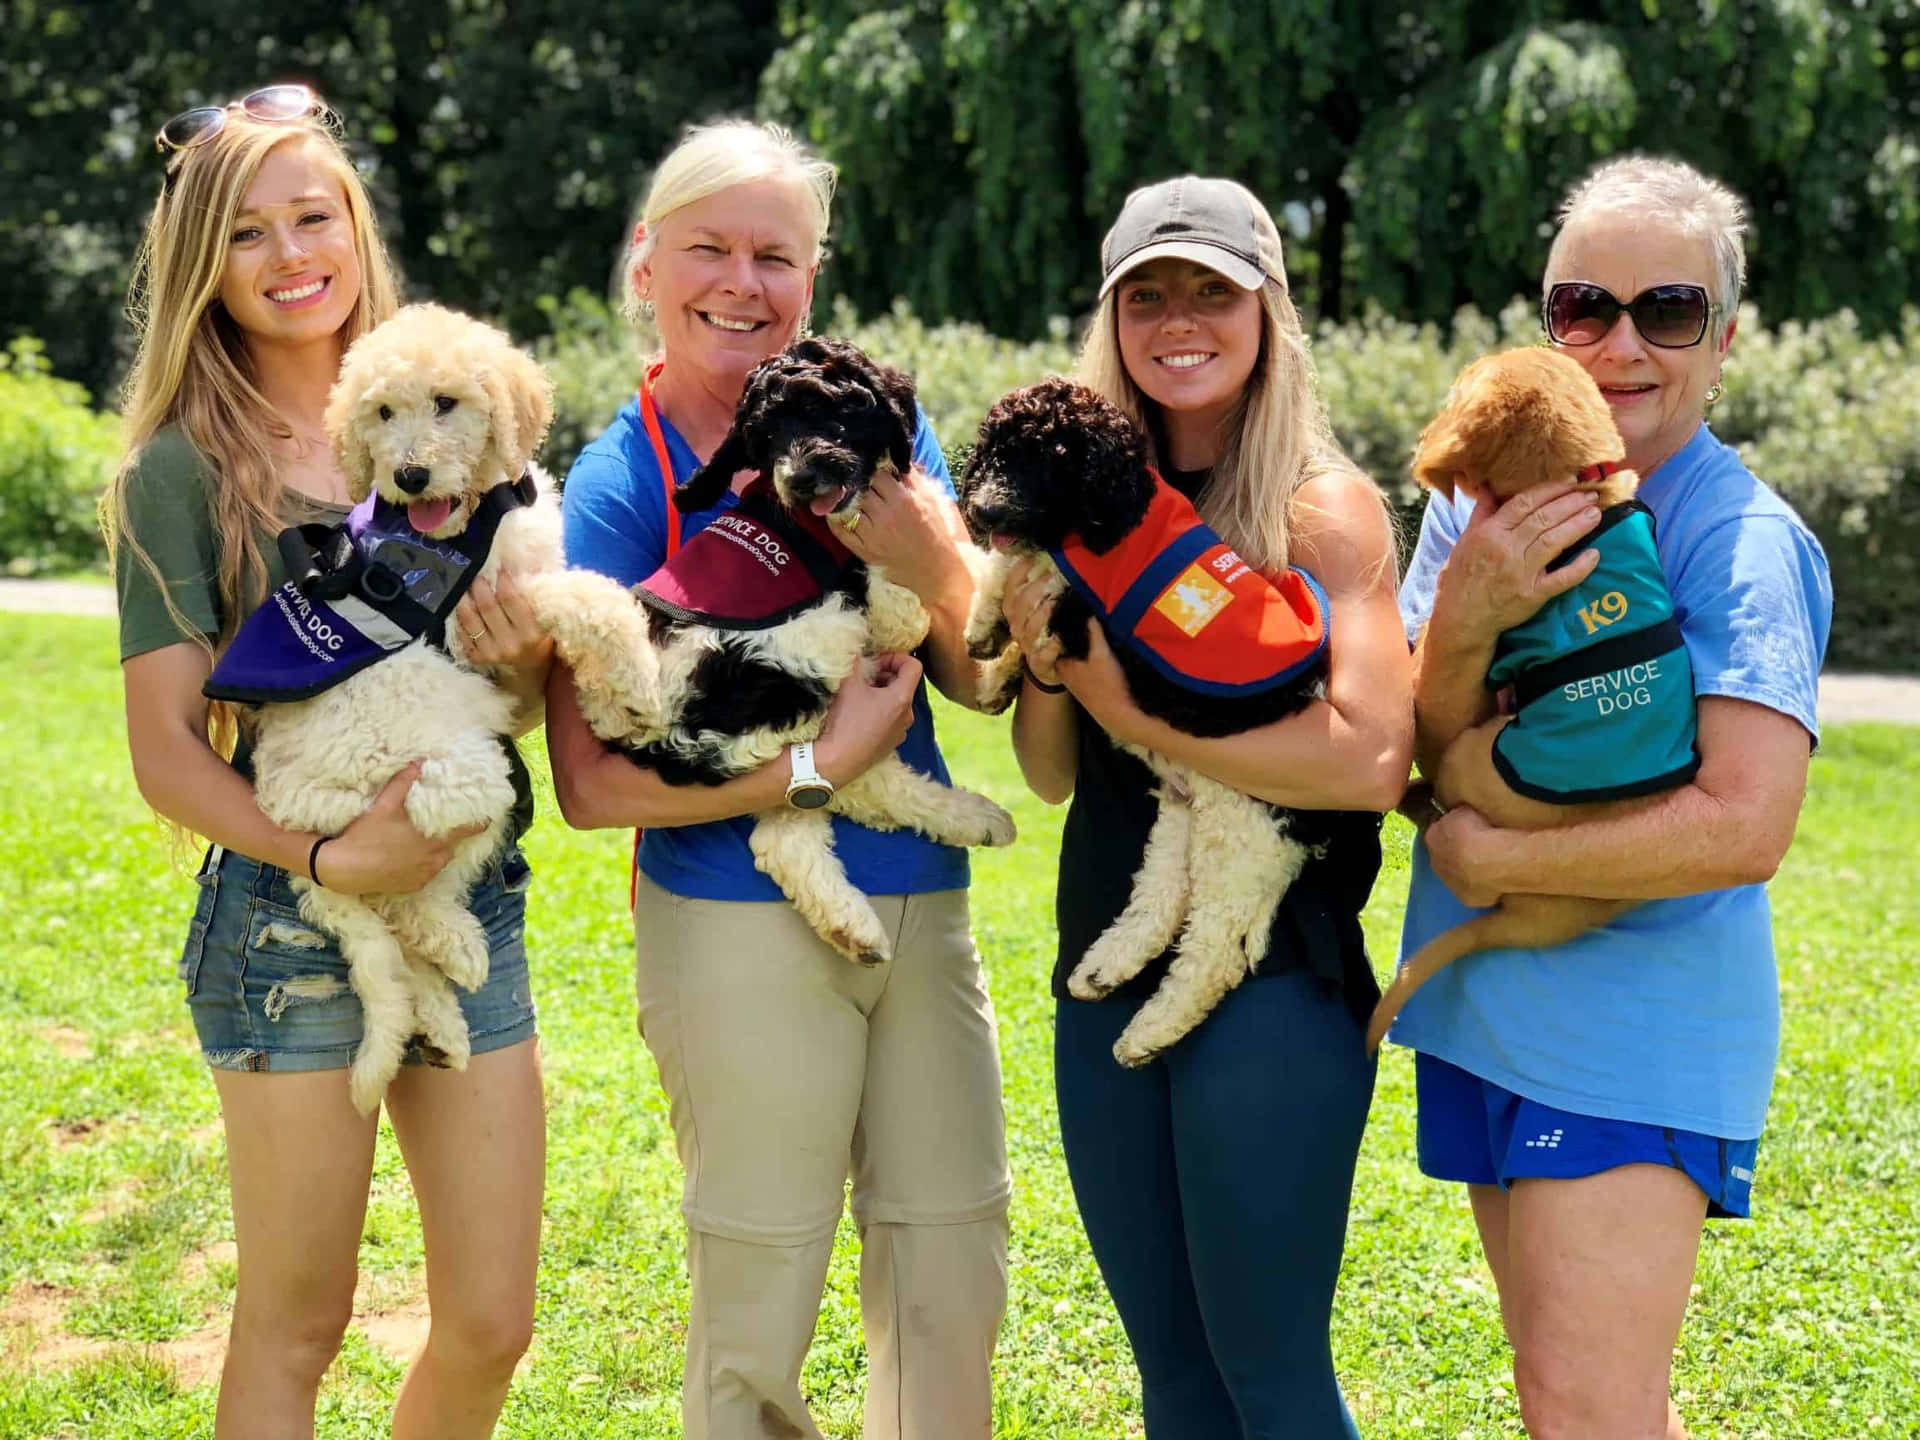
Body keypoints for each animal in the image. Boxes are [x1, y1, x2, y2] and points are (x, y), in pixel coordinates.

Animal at [960, 378, 1336, 1067]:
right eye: (996, 450)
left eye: (1055, 457)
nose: (988, 510)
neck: (1112, 510)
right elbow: (1017, 573)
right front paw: (992, 661)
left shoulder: (1077, 612)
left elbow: (1029, 576)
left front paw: (990, 631)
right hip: (1190, 814)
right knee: (1163, 903)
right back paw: (1100, 972)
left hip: (1242, 834)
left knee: (1214, 950)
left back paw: (1146, 1035)